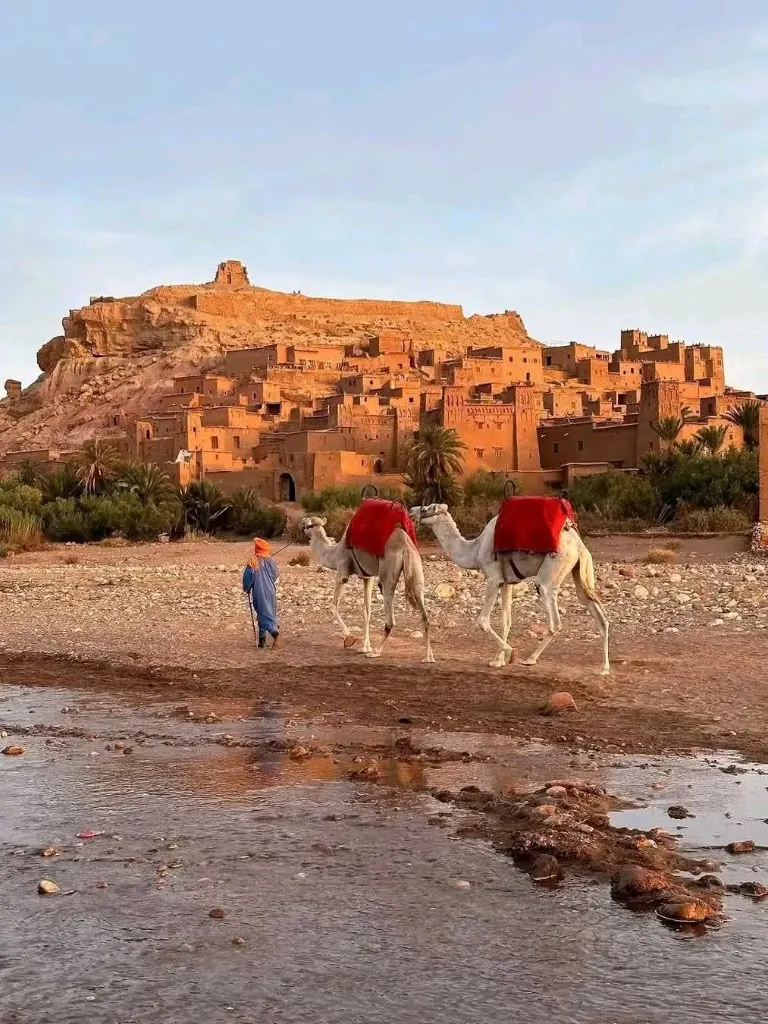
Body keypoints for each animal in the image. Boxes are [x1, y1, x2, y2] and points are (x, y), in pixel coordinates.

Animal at [299, 515, 435, 663]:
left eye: (307, 525)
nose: (300, 524)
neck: (334, 553)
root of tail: (405, 546)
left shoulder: (342, 573)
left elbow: (333, 606)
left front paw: (350, 639)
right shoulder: (367, 577)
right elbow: (367, 611)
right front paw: (365, 647)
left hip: (388, 571)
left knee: (390, 617)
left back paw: (376, 652)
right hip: (416, 567)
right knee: (424, 614)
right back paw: (428, 657)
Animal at [409, 503, 609, 674]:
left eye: (426, 508)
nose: (411, 511)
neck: (475, 550)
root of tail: (578, 545)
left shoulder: (493, 578)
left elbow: (483, 620)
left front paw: (510, 653)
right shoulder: (506, 582)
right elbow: (506, 621)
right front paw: (498, 660)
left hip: (553, 569)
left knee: (554, 618)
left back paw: (530, 659)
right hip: (579, 571)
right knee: (598, 615)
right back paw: (604, 668)